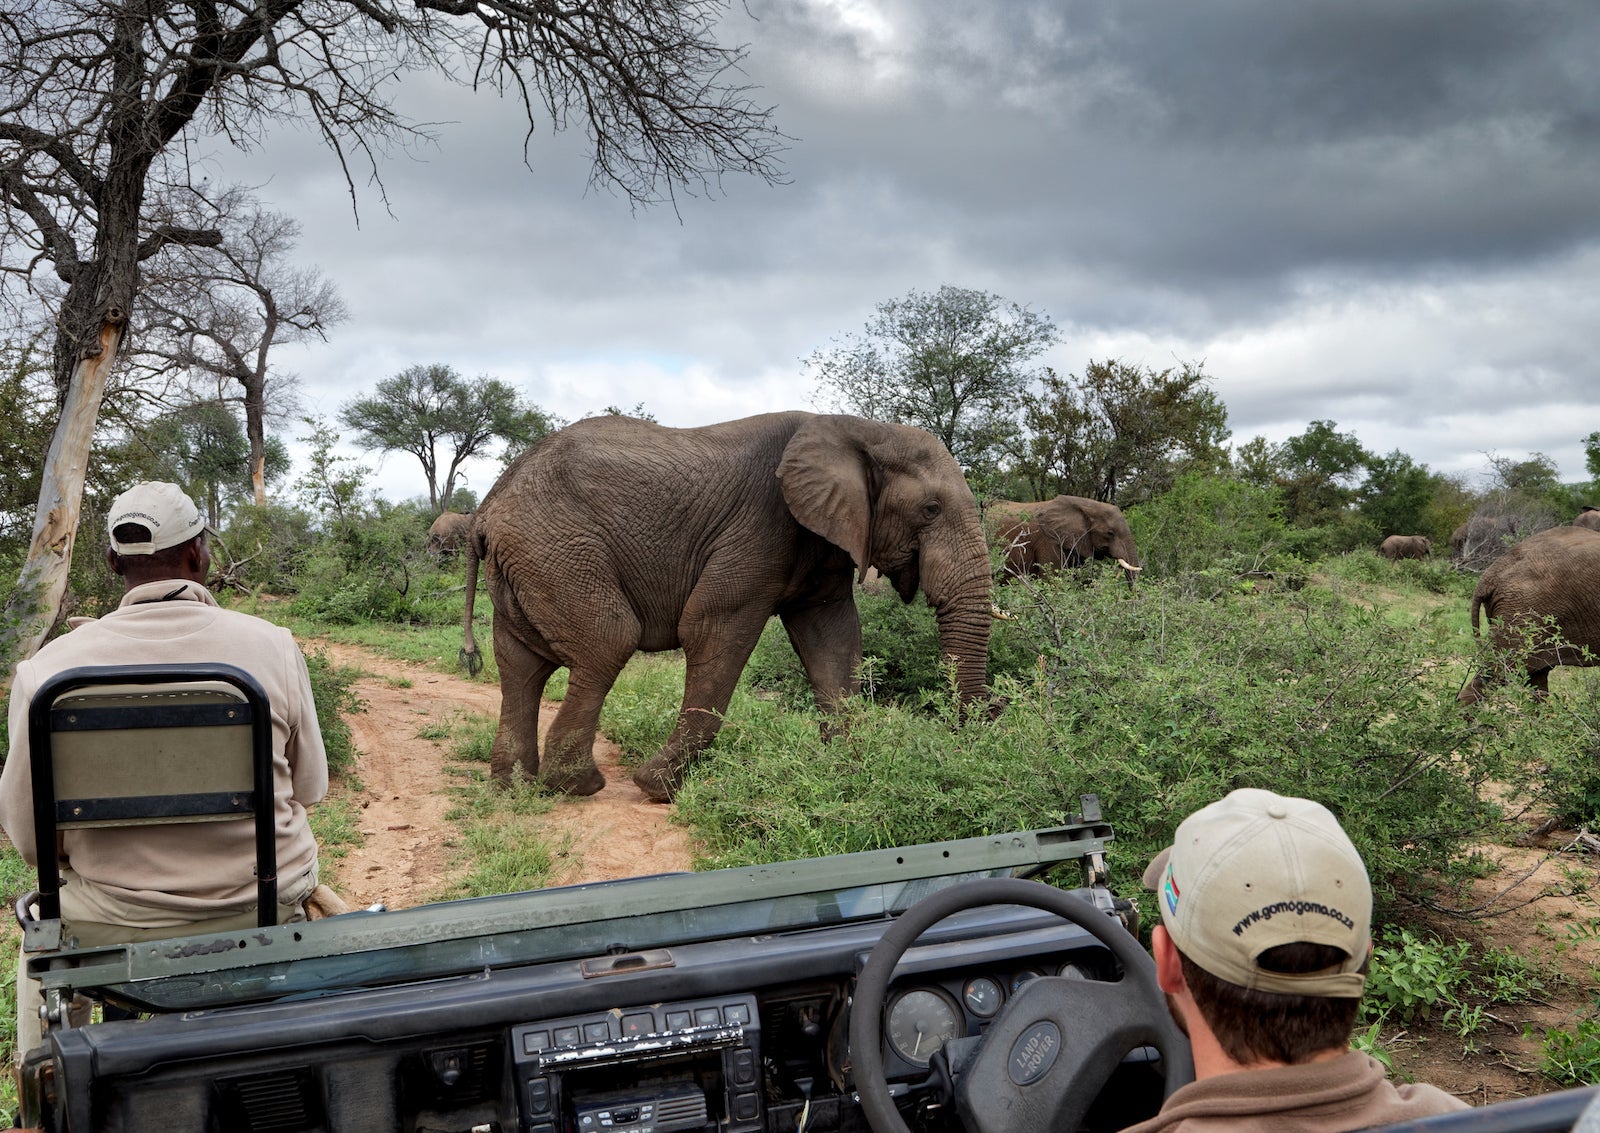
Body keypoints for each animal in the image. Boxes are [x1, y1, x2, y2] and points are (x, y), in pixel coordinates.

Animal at [459, 411, 995, 802]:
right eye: (930, 510)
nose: (985, 723)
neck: (861, 428)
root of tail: (486, 509)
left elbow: (834, 642)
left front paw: (845, 771)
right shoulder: (759, 526)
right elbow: (713, 629)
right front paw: (657, 789)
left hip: (528, 562)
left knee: (521, 664)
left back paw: (514, 787)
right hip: (556, 549)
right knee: (608, 641)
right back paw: (577, 786)